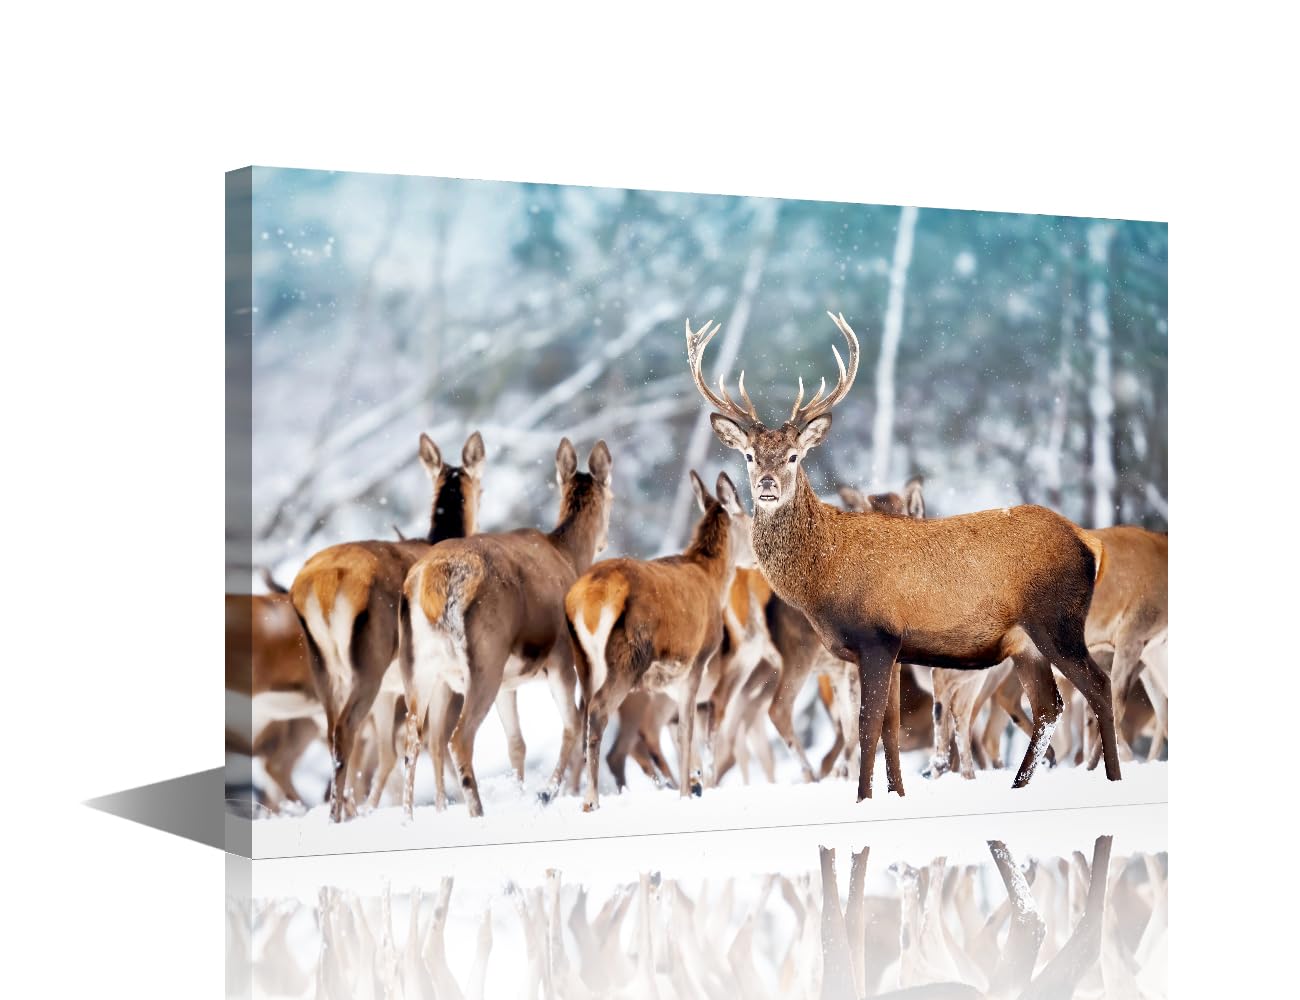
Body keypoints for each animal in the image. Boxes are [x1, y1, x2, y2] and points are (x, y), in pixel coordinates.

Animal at [289, 431, 484, 821]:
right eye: (482, 484)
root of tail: (322, 585)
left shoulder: (392, 690)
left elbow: (392, 751)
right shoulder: (436, 677)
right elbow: (435, 741)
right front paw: (440, 808)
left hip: (324, 667)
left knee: (334, 733)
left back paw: (343, 811)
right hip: (370, 662)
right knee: (346, 730)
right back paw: (338, 817)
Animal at [398, 438, 613, 818]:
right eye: (614, 497)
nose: (607, 539)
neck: (570, 556)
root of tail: (431, 583)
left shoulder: (509, 683)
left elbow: (517, 744)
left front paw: (522, 791)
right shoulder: (561, 657)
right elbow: (573, 725)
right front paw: (546, 793)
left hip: (420, 664)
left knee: (414, 737)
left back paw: (408, 820)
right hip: (486, 655)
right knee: (459, 737)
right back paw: (477, 810)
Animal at [565, 469, 753, 811]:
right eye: (750, 518)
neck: (714, 580)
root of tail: (590, 599)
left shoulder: (667, 679)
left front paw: (695, 782)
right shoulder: (696, 662)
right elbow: (687, 732)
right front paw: (687, 791)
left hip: (583, 661)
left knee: (582, 715)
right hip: (628, 656)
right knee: (599, 712)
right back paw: (592, 800)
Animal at [687, 311, 1122, 800]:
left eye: (795, 456)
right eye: (748, 455)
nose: (766, 485)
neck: (823, 575)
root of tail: (1090, 543)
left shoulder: (877, 636)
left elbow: (866, 725)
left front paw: (862, 798)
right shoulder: (892, 647)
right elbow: (891, 728)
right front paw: (895, 795)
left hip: (1058, 620)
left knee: (1099, 686)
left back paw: (1112, 779)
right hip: (1026, 642)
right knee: (1050, 705)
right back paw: (1018, 785)